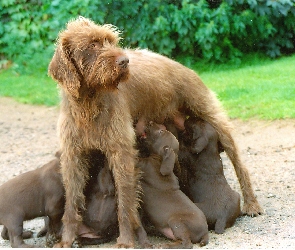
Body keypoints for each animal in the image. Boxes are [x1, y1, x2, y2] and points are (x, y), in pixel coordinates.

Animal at [49, 16, 264, 247]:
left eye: (111, 41)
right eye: (92, 45)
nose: (124, 61)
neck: (89, 104)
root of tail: (180, 65)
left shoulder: (121, 153)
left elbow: (124, 203)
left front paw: (126, 240)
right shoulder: (73, 156)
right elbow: (72, 203)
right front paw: (67, 240)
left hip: (213, 118)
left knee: (240, 165)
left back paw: (252, 204)